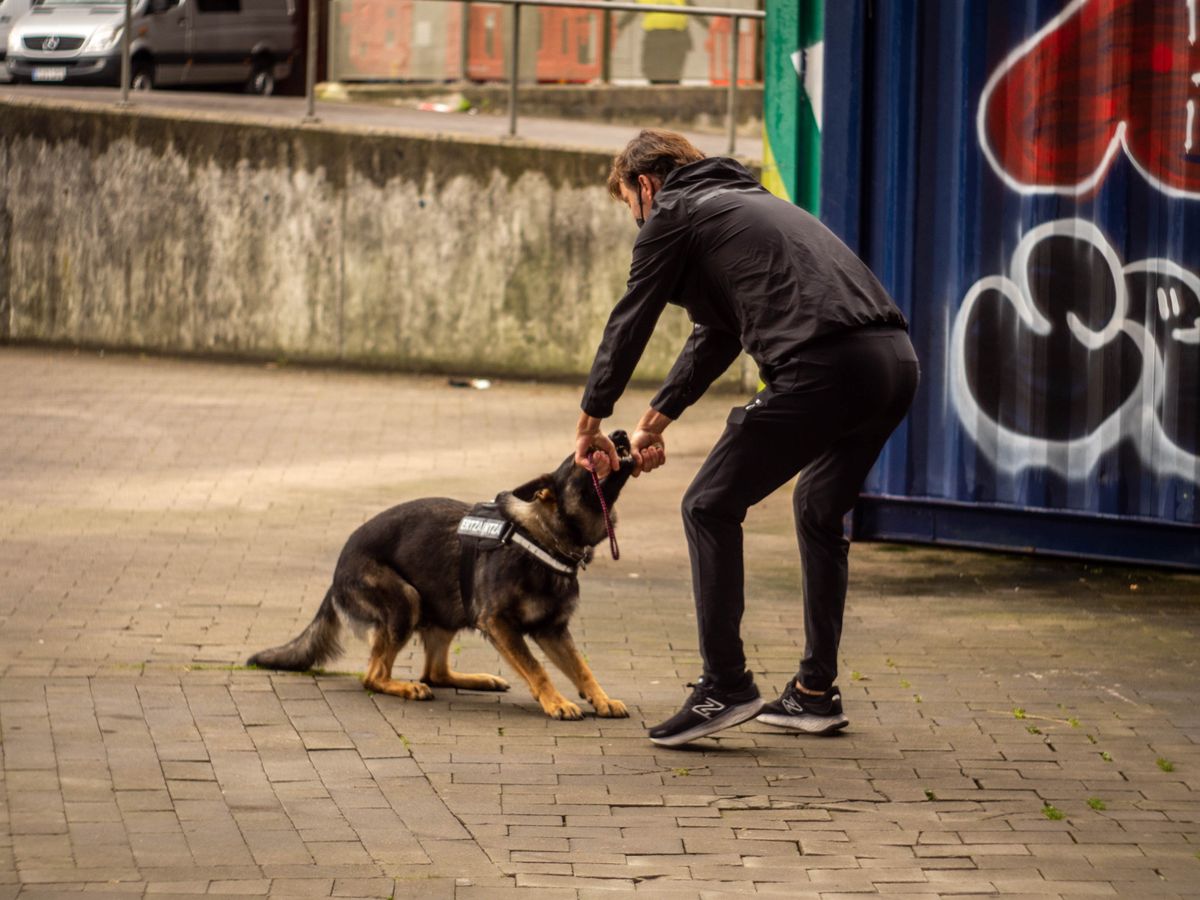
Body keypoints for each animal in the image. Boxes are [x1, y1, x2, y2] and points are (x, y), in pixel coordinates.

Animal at [250, 434, 638, 724]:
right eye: (581, 458)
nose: (620, 434)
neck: (544, 539)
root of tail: (337, 570)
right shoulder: (499, 623)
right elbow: (536, 668)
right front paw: (556, 702)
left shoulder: (552, 630)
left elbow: (581, 667)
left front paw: (600, 698)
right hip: (406, 601)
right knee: (375, 676)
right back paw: (405, 687)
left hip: (446, 611)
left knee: (434, 672)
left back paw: (478, 679)